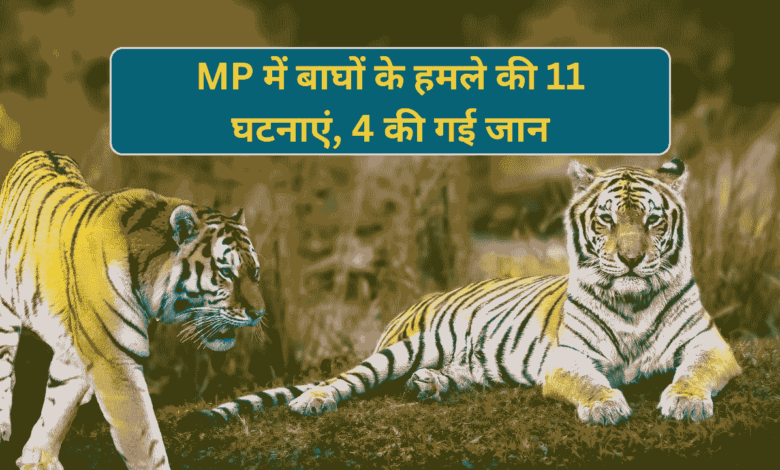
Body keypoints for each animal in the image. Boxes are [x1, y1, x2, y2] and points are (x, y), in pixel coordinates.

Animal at [0, 151, 266, 470]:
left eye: (255, 273)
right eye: (226, 272)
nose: (259, 313)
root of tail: (39, 151)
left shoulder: (84, 352)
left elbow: (58, 405)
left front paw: (38, 457)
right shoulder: (115, 360)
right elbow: (145, 442)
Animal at [181, 158, 741, 431]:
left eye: (652, 220)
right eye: (606, 220)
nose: (629, 259)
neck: (632, 300)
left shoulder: (711, 344)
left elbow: (694, 372)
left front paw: (685, 403)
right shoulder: (569, 358)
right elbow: (589, 383)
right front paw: (605, 406)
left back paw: (429, 385)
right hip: (407, 346)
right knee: (349, 379)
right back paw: (314, 400)